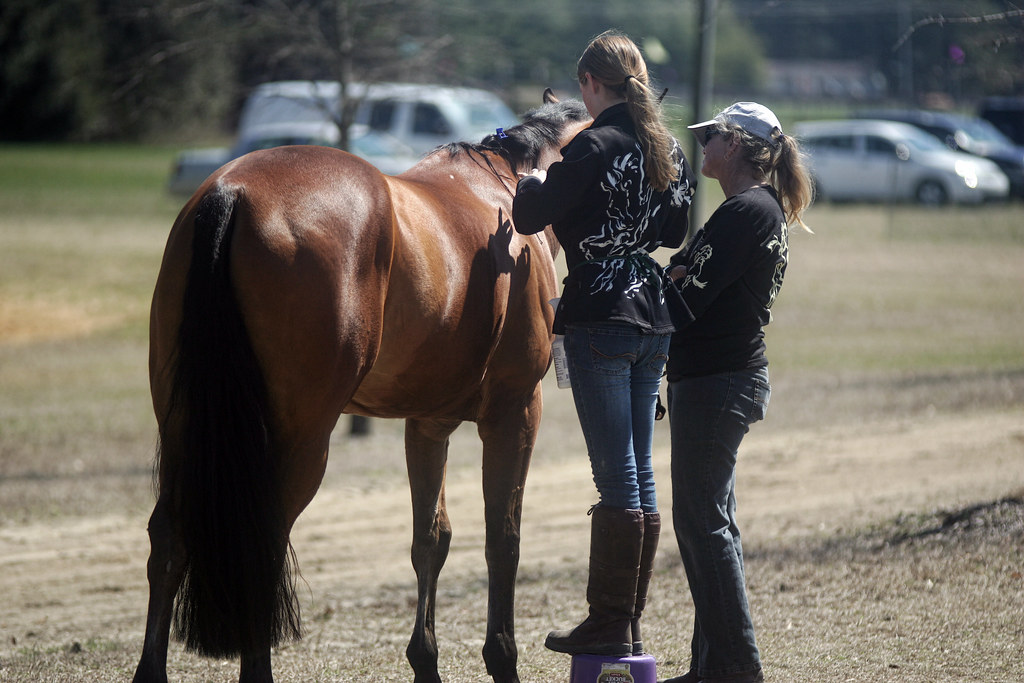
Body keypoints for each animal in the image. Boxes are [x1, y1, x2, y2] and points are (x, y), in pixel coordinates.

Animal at [131, 90, 591, 683]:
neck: (508, 198)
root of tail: (232, 193)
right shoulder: (515, 414)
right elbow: (503, 538)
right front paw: (502, 657)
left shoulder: (428, 424)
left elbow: (431, 539)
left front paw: (425, 660)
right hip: (301, 441)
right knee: (261, 540)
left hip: (185, 427)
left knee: (169, 536)